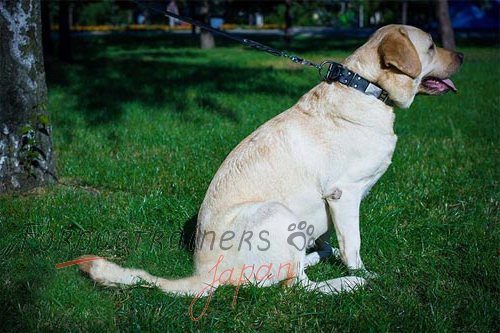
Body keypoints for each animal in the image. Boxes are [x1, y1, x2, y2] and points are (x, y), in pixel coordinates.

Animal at [78, 25, 464, 296]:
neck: (366, 88)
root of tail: (202, 275)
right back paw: (347, 284)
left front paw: (329, 254)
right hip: (278, 214)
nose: (461, 55)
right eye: (432, 46)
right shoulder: (344, 195)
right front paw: (361, 273)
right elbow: (352, 245)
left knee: (297, 270)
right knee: (298, 287)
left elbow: (334, 240)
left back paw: (315, 257)